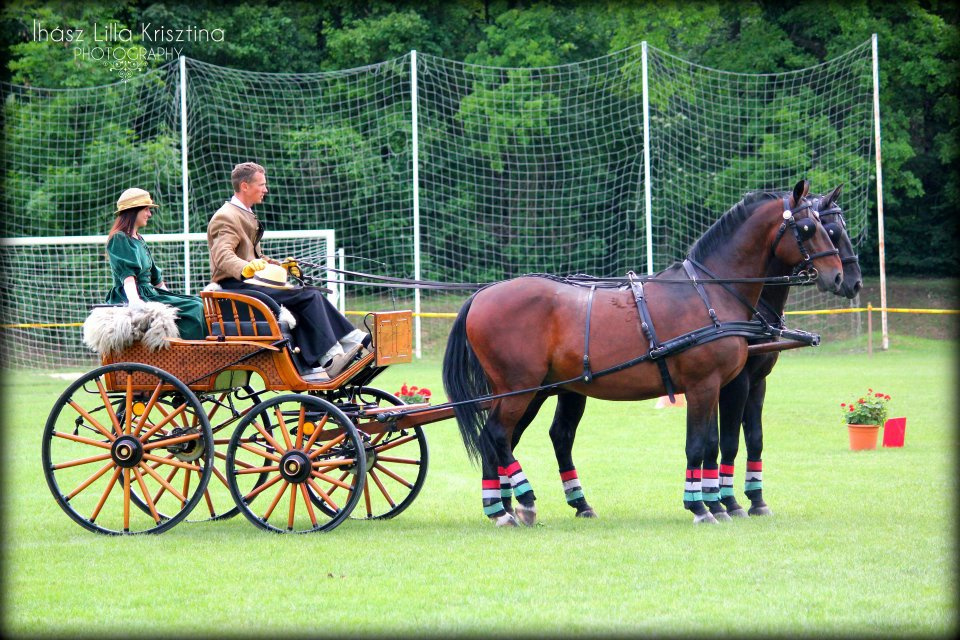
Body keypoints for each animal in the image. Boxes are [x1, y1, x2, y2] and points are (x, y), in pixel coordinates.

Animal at [440, 179, 840, 524]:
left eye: (829, 227)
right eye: (809, 228)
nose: (839, 278)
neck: (709, 291)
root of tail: (482, 294)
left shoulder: (717, 386)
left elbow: (712, 443)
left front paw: (718, 504)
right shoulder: (704, 385)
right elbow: (698, 445)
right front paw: (701, 507)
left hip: (529, 390)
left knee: (499, 438)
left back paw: (502, 507)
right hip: (518, 388)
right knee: (496, 434)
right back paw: (521, 501)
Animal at [704, 186, 864, 520]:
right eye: (830, 230)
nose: (851, 281)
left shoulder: (758, 382)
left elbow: (754, 438)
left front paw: (756, 499)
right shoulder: (734, 383)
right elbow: (728, 441)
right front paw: (728, 502)